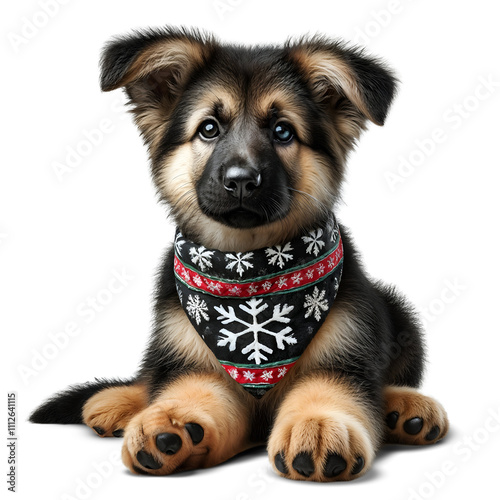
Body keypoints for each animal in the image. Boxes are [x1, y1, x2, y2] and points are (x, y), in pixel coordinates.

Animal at [29, 27, 448, 480]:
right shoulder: (193, 357)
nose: (242, 180)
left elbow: (329, 391)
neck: (248, 269)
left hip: (396, 313)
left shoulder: (346, 357)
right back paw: (117, 401)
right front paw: (172, 423)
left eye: (282, 131)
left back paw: (406, 408)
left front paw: (317, 427)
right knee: (149, 376)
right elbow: (192, 389)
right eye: (209, 129)